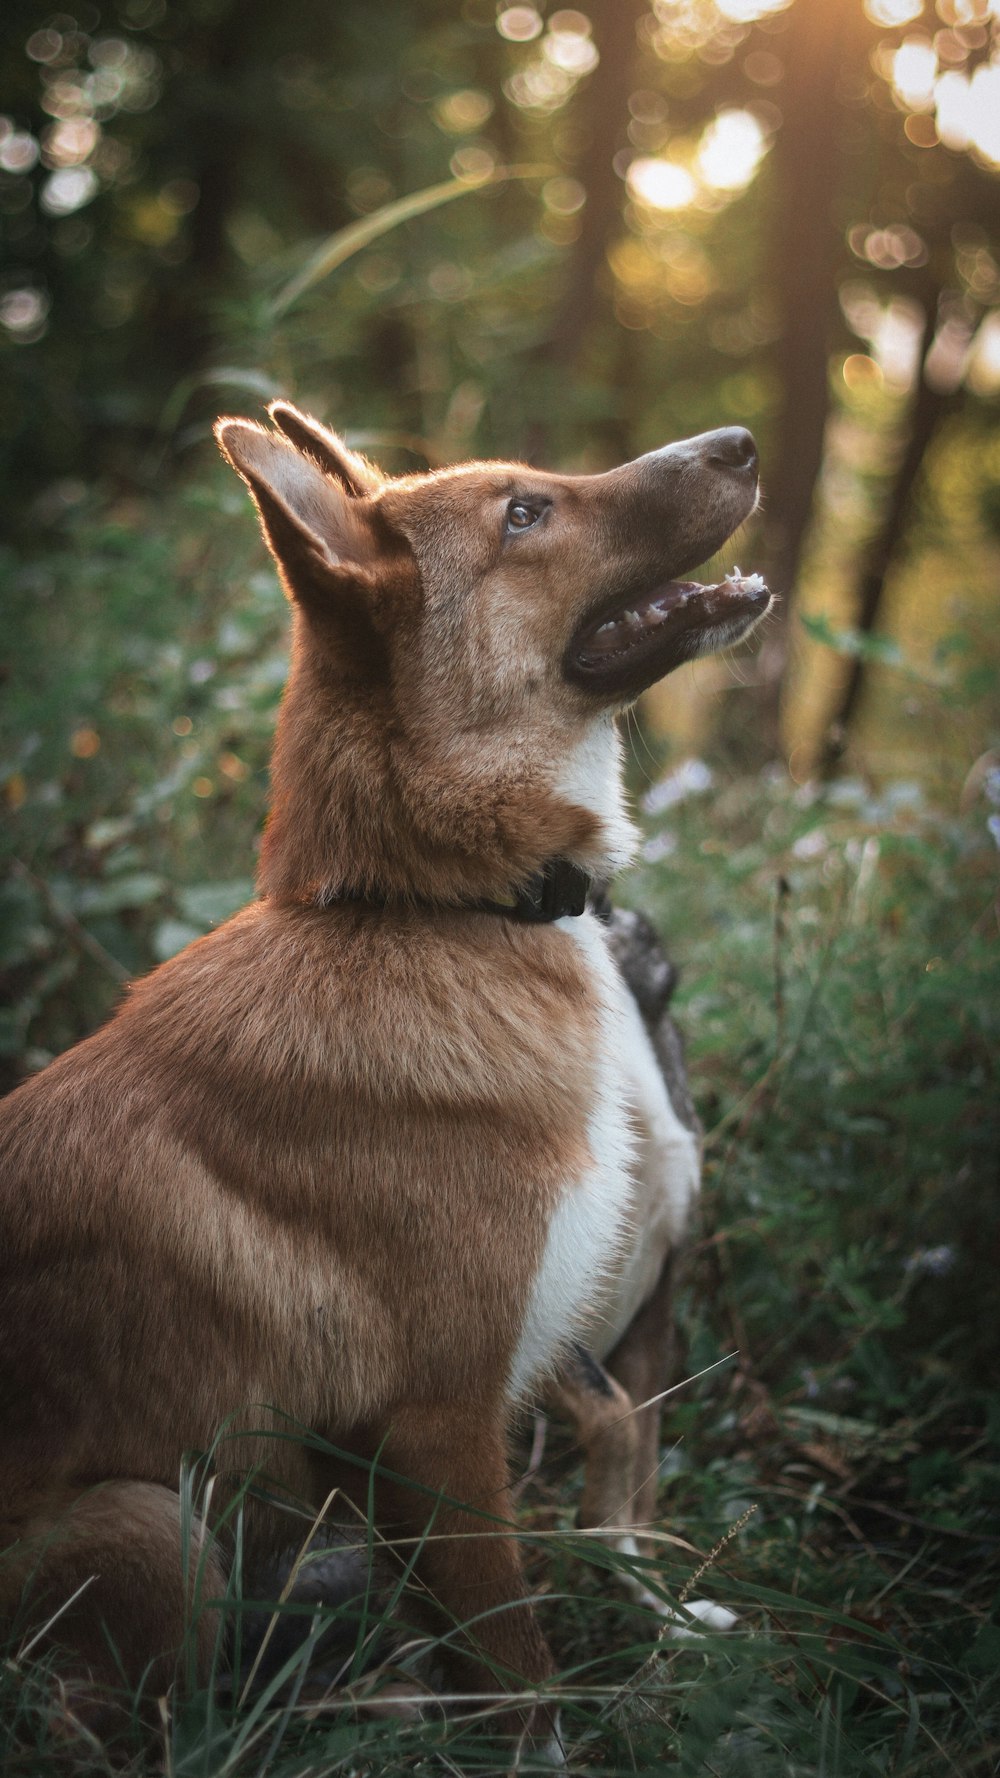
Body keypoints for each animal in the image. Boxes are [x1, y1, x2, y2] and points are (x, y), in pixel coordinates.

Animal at [0, 400, 761, 1735]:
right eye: (524, 513)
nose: (740, 439)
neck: (433, 910)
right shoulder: (440, 1425)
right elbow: (516, 1660)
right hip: (152, 1522)